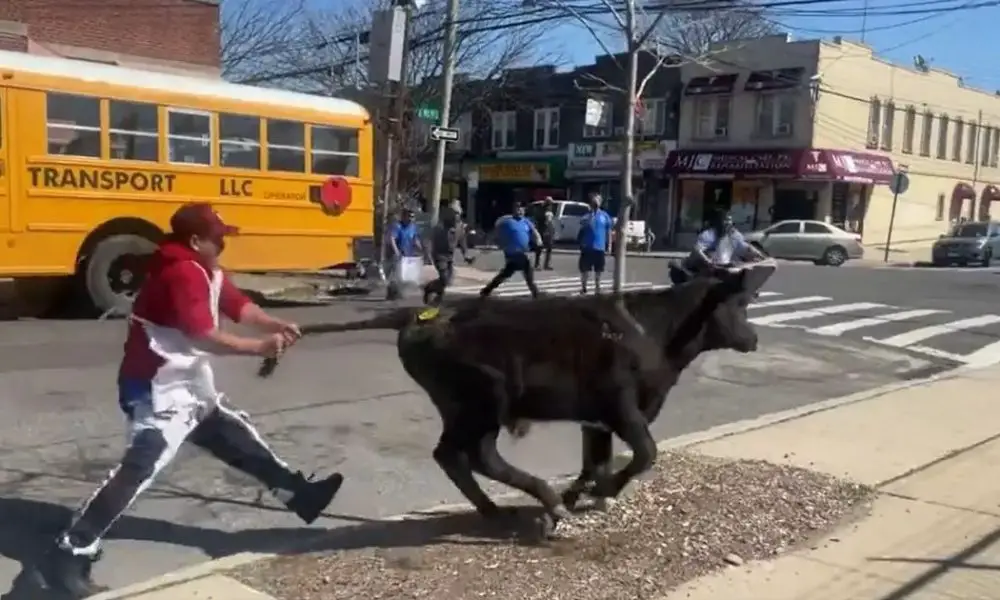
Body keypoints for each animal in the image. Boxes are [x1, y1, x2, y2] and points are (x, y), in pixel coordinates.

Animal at [256, 264, 772, 536]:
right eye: (739, 303)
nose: (754, 338)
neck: (657, 334)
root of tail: (420, 315)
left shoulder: (597, 418)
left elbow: (596, 459)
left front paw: (585, 492)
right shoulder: (623, 406)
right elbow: (645, 452)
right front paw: (595, 493)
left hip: (465, 406)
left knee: (454, 456)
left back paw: (499, 508)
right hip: (484, 401)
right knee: (473, 454)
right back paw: (543, 502)